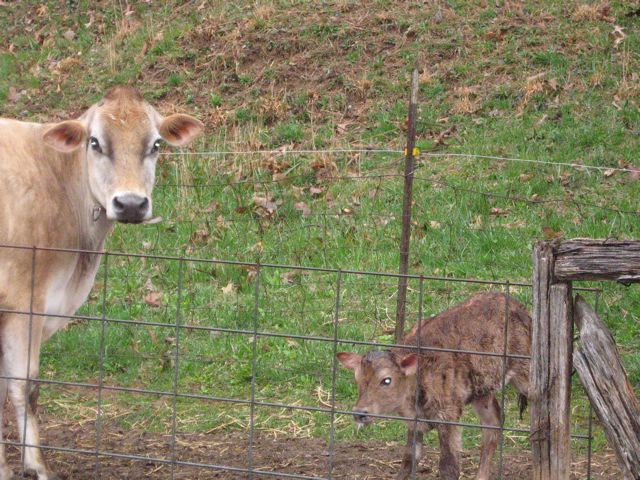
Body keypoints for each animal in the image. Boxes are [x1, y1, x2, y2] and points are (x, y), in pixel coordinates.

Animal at [0, 87, 202, 480]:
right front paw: (36, 468)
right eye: (94, 142)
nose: (131, 204)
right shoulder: (24, 302)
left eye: (155, 144)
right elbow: (25, 386)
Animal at [338, 290, 532, 480]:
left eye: (386, 380)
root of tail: (519, 307)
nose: (359, 413)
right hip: (482, 390)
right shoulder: (414, 422)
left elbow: (449, 466)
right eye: (358, 379)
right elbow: (409, 459)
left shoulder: (449, 416)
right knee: (493, 422)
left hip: (524, 372)